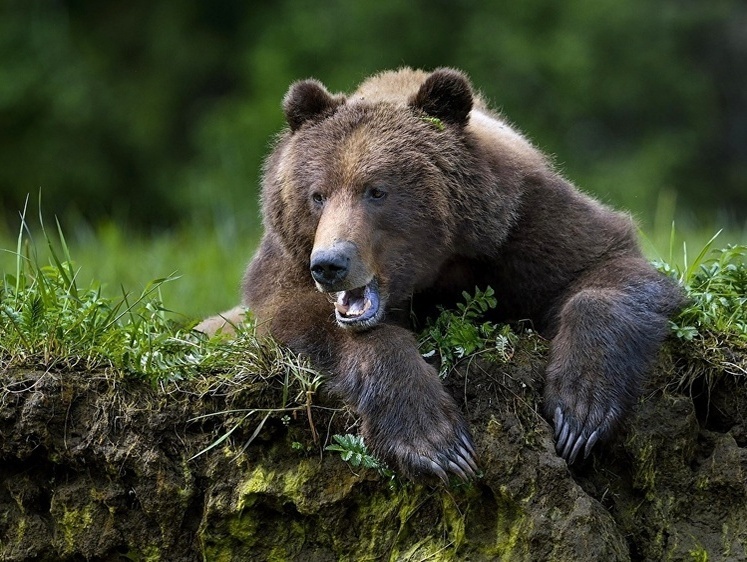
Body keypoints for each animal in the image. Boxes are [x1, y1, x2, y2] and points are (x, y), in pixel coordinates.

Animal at [202, 68, 688, 480]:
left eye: (376, 191)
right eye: (317, 194)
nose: (329, 265)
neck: (437, 266)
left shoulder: (524, 223)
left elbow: (605, 266)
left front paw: (580, 411)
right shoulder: (286, 262)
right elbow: (302, 317)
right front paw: (436, 441)